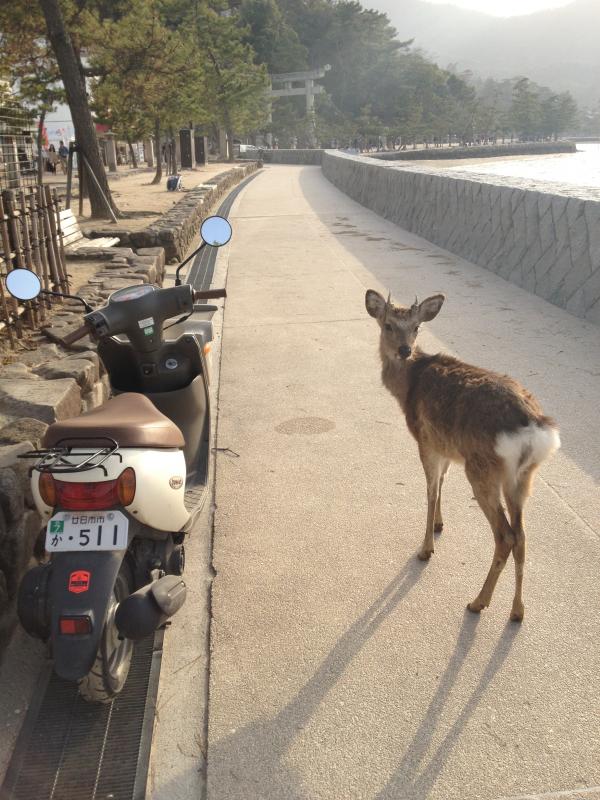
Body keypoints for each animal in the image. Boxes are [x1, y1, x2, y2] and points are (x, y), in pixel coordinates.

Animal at [364, 290, 560, 620]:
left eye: (416, 327)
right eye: (388, 325)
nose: (404, 350)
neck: (407, 388)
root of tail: (534, 426)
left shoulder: (425, 439)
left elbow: (430, 489)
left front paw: (426, 548)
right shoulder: (445, 446)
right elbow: (442, 481)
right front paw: (440, 525)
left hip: (482, 469)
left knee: (505, 535)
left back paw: (478, 601)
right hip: (522, 477)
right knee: (522, 536)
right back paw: (517, 610)